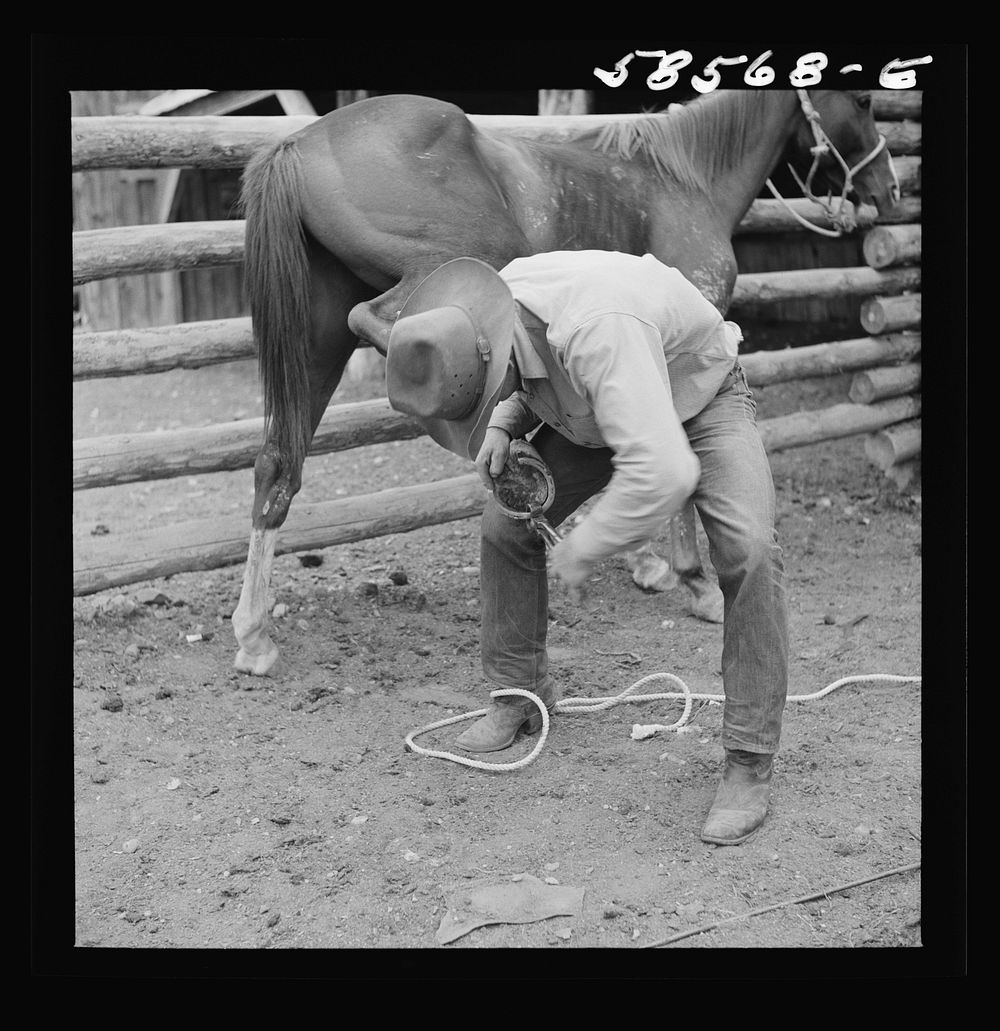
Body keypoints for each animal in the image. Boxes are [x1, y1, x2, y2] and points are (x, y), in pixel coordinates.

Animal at [229, 88, 898, 676]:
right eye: (864, 101)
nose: (887, 189)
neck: (684, 180)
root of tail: (296, 143)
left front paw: (643, 560)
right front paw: (693, 581)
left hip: (316, 344)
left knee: (277, 464)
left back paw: (254, 635)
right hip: (451, 266)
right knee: (382, 321)